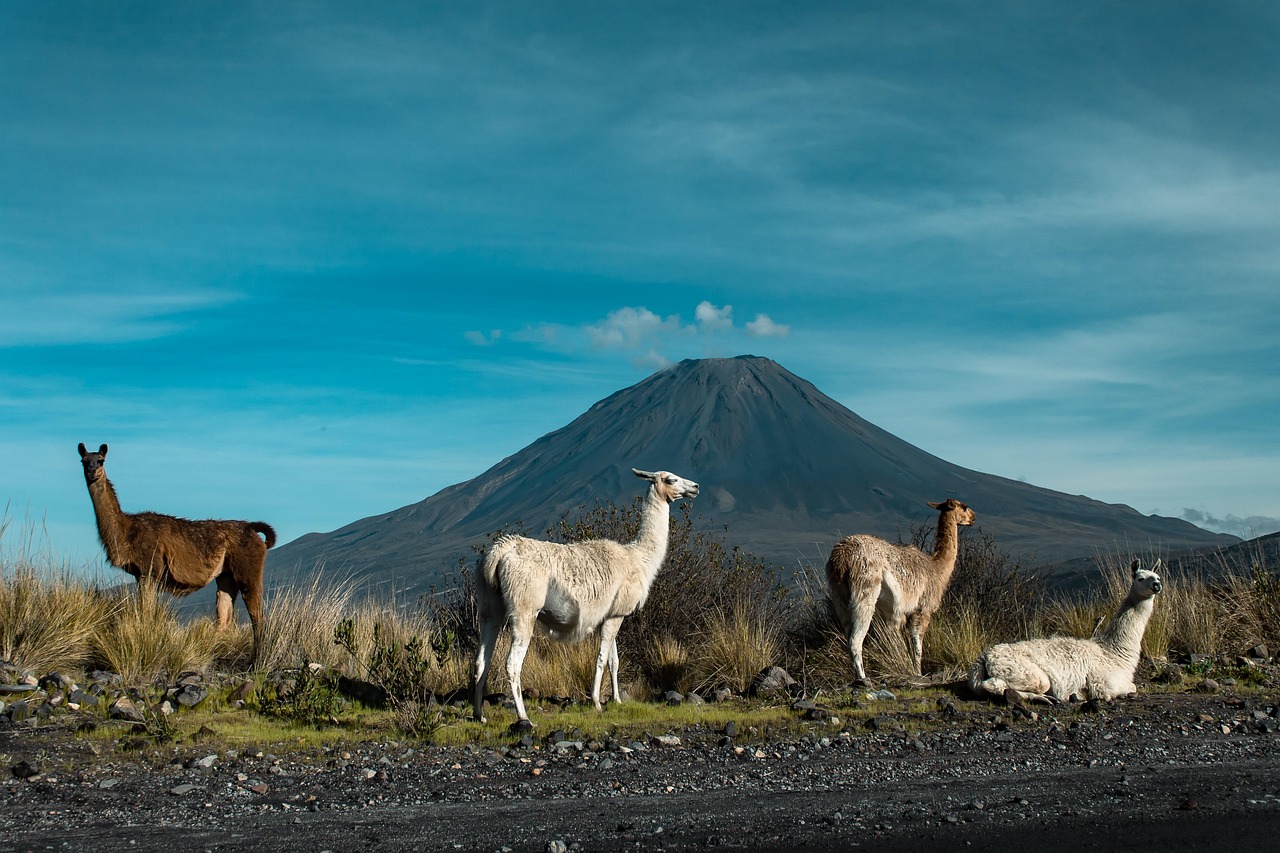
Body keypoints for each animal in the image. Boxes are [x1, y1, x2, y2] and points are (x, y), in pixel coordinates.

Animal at [472, 468, 700, 728]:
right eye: (671, 479)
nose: (695, 487)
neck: (638, 559)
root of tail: (500, 551)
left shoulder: (610, 614)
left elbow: (614, 660)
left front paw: (617, 701)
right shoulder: (617, 614)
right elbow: (601, 658)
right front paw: (597, 702)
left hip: (490, 606)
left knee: (480, 661)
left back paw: (479, 715)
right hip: (524, 608)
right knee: (512, 664)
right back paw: (523, 717)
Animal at [825, 499, 975, 685]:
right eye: (964, 506)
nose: (973, 517)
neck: (937, 569)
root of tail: (841, 558)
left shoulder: (893, 616)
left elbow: (894, 642)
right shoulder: (922, 609)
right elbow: (917, 645)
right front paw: (917, 673)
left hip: (839, 597)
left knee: (847, 634)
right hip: (865, 591)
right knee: (855, 640)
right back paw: (863, 678)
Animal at [968, 559, 1164, 703]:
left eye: (1158, 576)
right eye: (1140, 578)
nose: (1156, 586)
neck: (1113, 652)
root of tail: (984, 656)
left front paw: (1079, 693)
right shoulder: (1105, 682)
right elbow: (1131, 687)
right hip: (1025, 672)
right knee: (994, 685)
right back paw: (1043, 698)